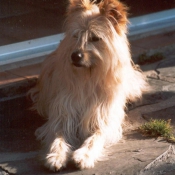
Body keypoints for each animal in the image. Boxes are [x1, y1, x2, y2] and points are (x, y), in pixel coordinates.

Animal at [29, 0, 146, 172]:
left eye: (95, 38)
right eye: (76, 35)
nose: (75, 56)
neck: (87, 78)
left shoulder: (104, 118)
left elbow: (96, 137)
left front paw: (84, 155)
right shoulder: (62, 115)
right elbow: (58, 137)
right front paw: (56, 156)